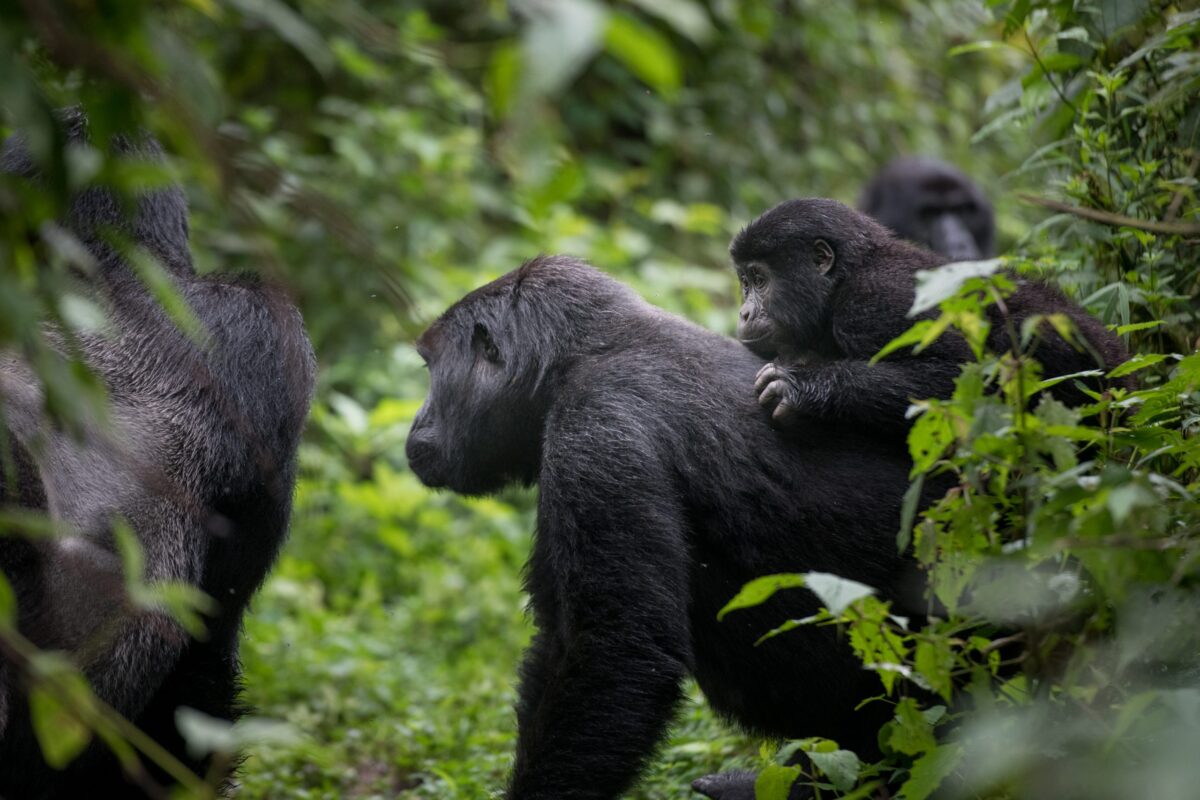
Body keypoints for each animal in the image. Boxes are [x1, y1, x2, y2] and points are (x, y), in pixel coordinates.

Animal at [403, 257, 926, 800]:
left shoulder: (595, 436)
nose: (417, 421)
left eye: (429, 369)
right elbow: (560, 641)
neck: (582, 356)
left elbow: (615, 650)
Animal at [729, 200, 1132, 438]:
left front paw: (802, 387)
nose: (743, 312)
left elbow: (960, 375)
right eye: (745, 282)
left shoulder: (874, 303)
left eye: (760, 280)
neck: (845, 277)